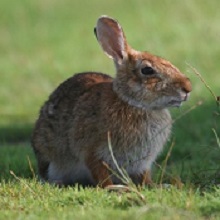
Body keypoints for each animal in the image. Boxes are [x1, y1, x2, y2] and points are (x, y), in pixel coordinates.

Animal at [31, 15, 192, 187]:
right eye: (147, 70)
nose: (187, 88)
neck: (133, 103)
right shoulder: (93, 152)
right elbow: (100, 173)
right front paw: (114, 188)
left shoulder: (141, 163)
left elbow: (144, 177)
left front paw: (158, 186)